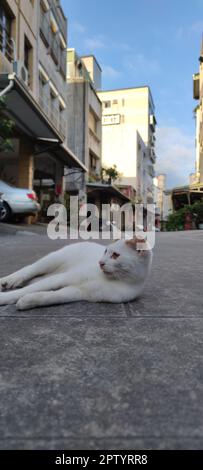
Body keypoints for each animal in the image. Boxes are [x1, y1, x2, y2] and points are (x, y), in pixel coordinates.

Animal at [0, 237, 152, 310]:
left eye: (115, 255)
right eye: (105, 251)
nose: (100, 262)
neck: (115, 279)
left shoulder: (80, 292)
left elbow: (53, 296)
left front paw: (28, 301)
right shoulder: (64, 278)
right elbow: (25, 291)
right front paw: (5, 298)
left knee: (36, 280)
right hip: (50, 261)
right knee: (29, 270)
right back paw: (9, 280)